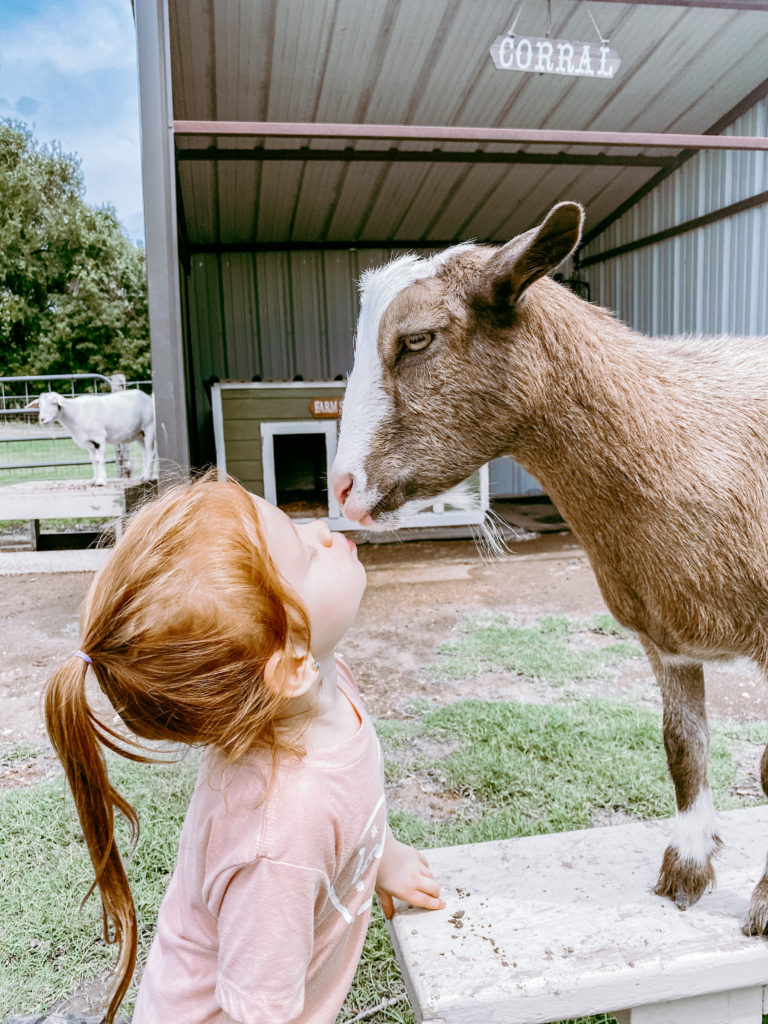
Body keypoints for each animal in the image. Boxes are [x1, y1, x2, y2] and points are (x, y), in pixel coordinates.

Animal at [329, 201, 768, 937]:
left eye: (417, 340)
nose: (341, 489)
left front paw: (762, 905)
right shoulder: (666, 639)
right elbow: (683, 748)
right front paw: (686, 870)